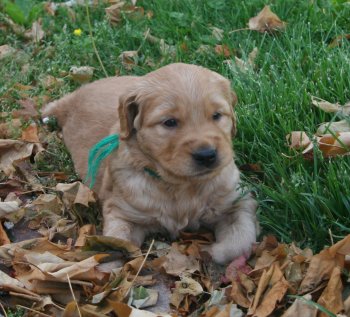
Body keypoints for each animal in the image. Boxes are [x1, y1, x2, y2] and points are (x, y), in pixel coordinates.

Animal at [43, 63, 258, 262]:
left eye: (216, 115)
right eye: (170, 122)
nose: (207, 155)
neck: (181, 186)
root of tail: (71, 99)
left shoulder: (237, 200)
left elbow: (237, 243)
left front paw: (212, 252)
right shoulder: (122, 211)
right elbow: (119, 240)